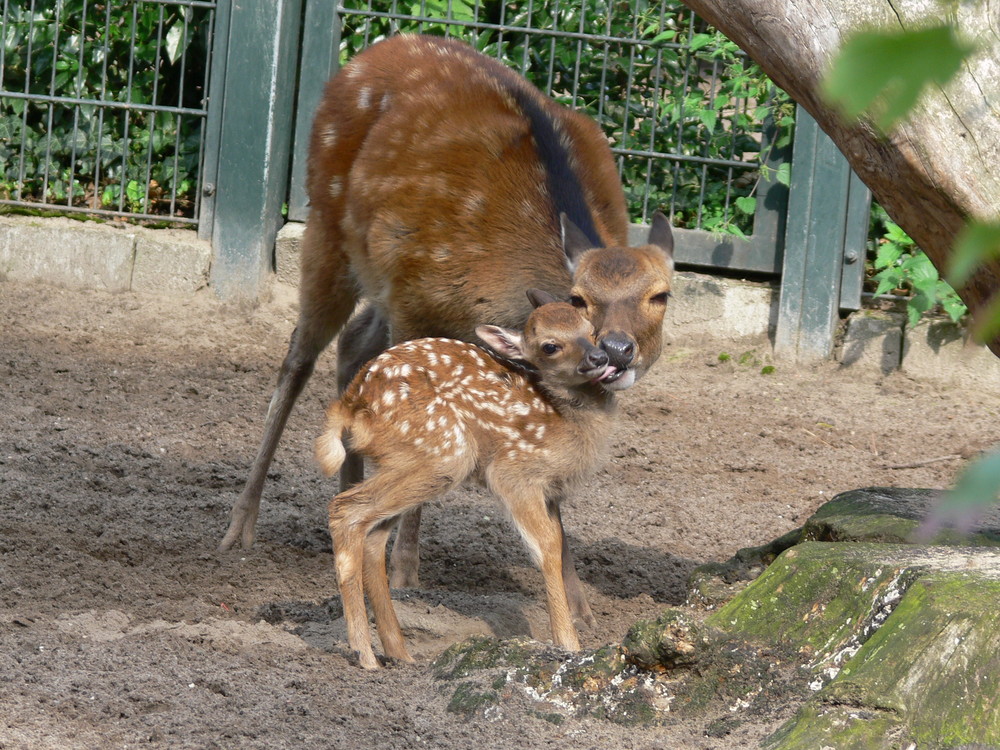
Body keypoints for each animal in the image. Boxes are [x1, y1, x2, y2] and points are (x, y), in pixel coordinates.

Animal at [218, 32, 672, 624]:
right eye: (580, 298)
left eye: (661, 295)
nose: (617, 351)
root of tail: (373, 50)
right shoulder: (417, 295)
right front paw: (406, 572)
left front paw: (580, 607)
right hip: (328, 223)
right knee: (300, 356)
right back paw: (241, 526)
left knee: (355, 344)